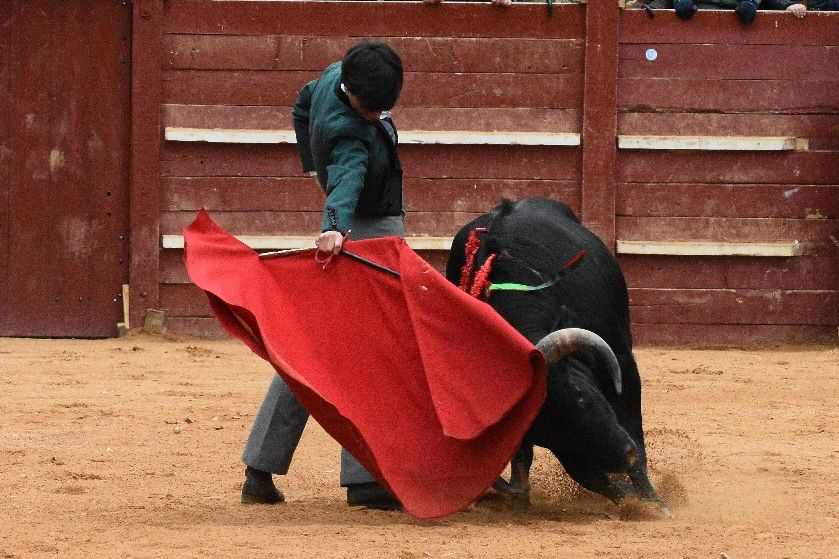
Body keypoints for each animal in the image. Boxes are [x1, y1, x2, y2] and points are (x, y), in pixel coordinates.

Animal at [446, 198, 668, 516]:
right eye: (545, 432)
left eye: (582, 398)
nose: (622, 458)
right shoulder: (568, 448)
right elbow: (583, 474)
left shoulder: (622, 361)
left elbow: (634, 431)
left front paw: (654, 502)